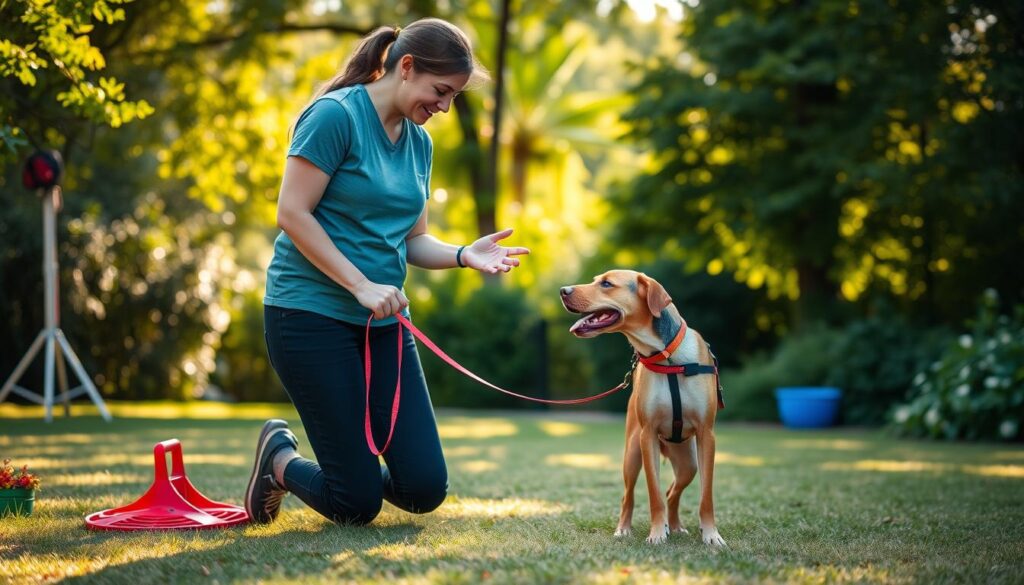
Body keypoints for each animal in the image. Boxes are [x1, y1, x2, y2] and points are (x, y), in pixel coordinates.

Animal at [561, 272, 729, 549]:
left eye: (606, 283)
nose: (563, 290)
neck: (667, 356)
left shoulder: (707, 435)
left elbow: (706, 496)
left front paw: (711, 535)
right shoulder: (647, 435)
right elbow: (654, 494)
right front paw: (657, 533)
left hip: (688, 464)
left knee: (672, 492)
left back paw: (676, 526)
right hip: (632, 454)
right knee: (629, 496)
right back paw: (625, 529)